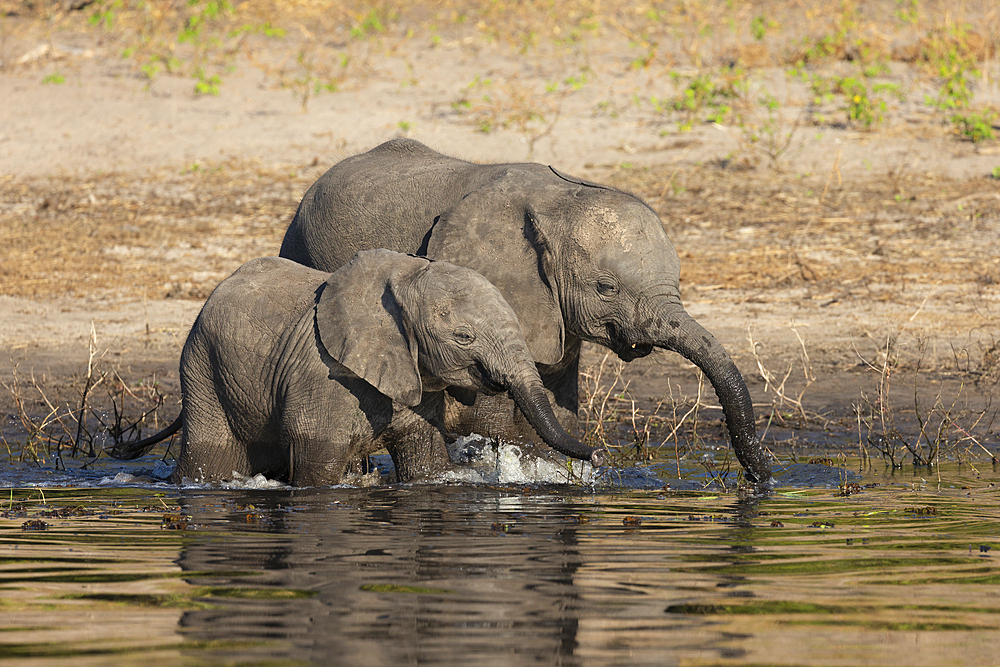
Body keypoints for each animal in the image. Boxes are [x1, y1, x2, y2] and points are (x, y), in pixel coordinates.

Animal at [113, 250, 604, 486]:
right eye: (464, 337)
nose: (599, 455)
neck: (403, 281)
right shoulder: (324, 375)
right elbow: (317, 468)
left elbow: (426, 465)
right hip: (203, 368)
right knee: (211, 457)